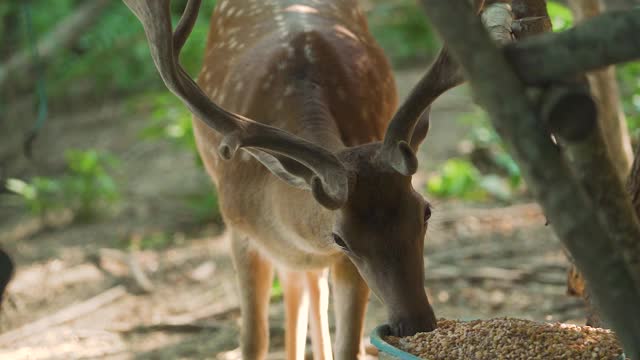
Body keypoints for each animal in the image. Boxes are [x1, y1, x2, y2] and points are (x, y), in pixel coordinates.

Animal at [124, 0, 496, 358]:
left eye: (426, 211)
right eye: (341, 237)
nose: (415, 322)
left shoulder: (343, 264)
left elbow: (349, 347)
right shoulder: (240, 232)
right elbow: (253, 342)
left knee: (308, 285)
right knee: (297, 284)